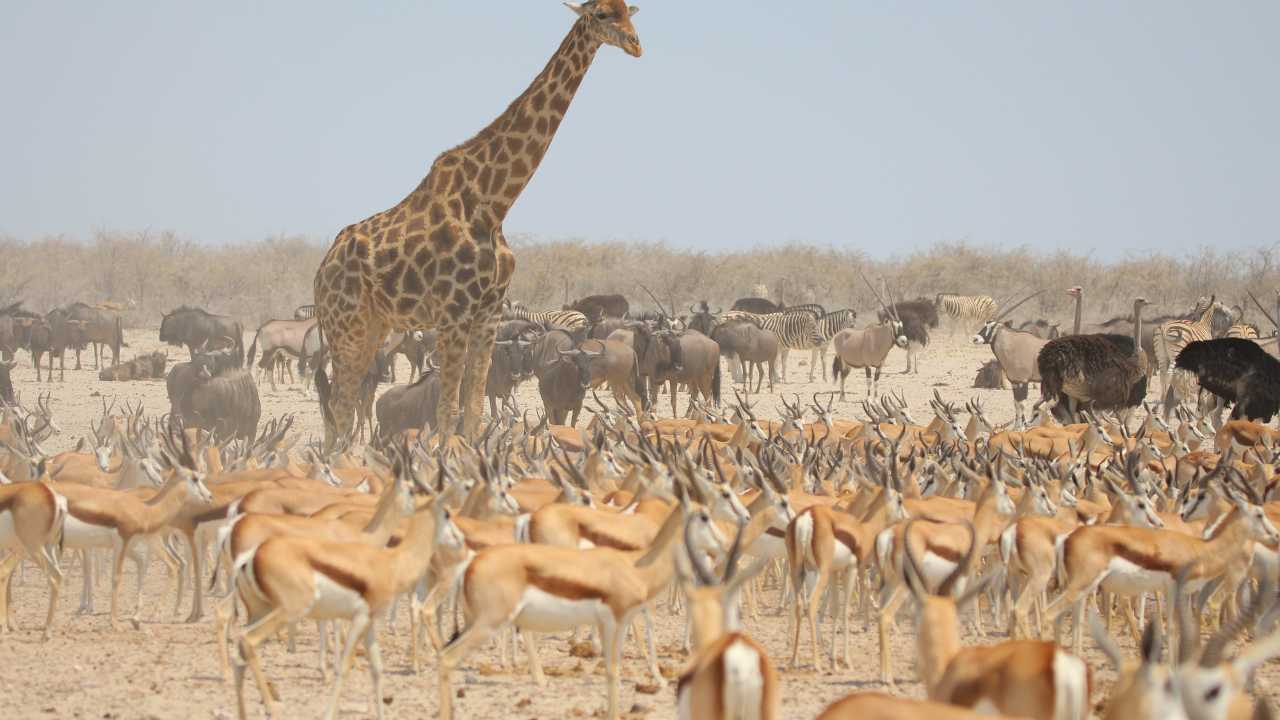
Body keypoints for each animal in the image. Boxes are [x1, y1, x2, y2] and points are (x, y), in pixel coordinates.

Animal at [312, 1, 642, 446]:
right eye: (603, 15)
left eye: (629, 12)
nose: (636, 44)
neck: (493, 202)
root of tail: (321, 273)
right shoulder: (453, 313)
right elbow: (447, 408)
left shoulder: (487, 313)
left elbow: (473, 408)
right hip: (344, 324)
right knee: (340, 405)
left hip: (372, 326)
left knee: (339, 405)